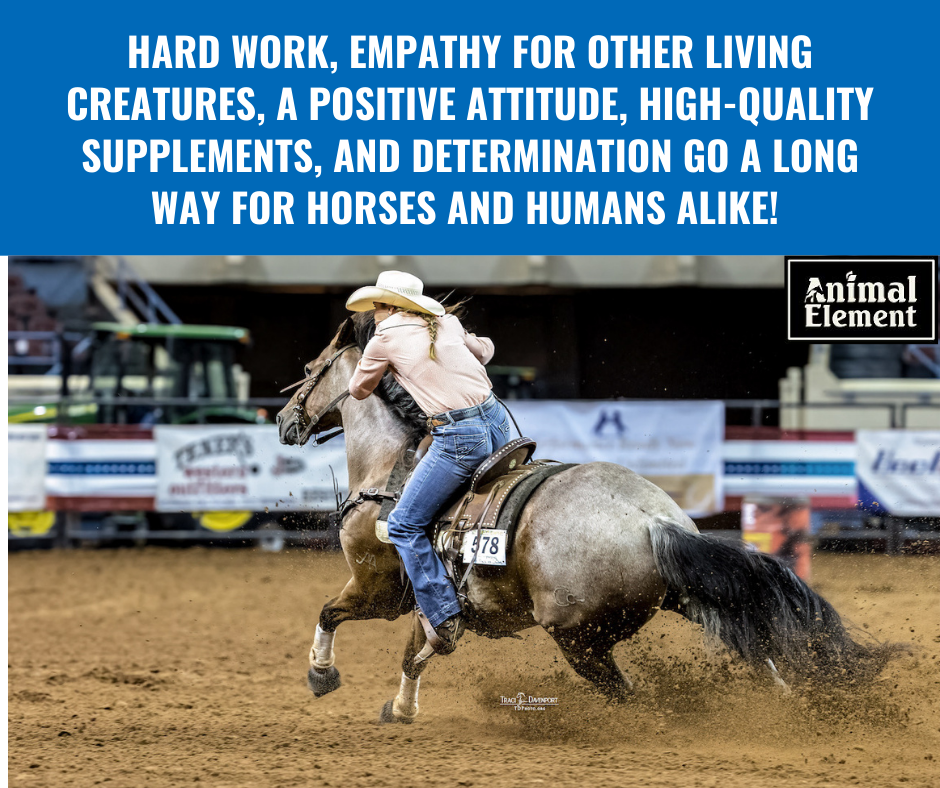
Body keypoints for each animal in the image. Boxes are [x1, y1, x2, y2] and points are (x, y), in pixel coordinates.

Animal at [278, 312, 896, 720]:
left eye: (309, 367)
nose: (285, 421)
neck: (392, 469)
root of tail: (651, 521)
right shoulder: (427, 598)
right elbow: (419, 650)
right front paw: (401, 708)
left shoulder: (378, 586)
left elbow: (332, 613)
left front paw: (321, 675)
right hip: (692, 601)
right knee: (763, 652)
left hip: (580, 642)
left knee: (630, 699)